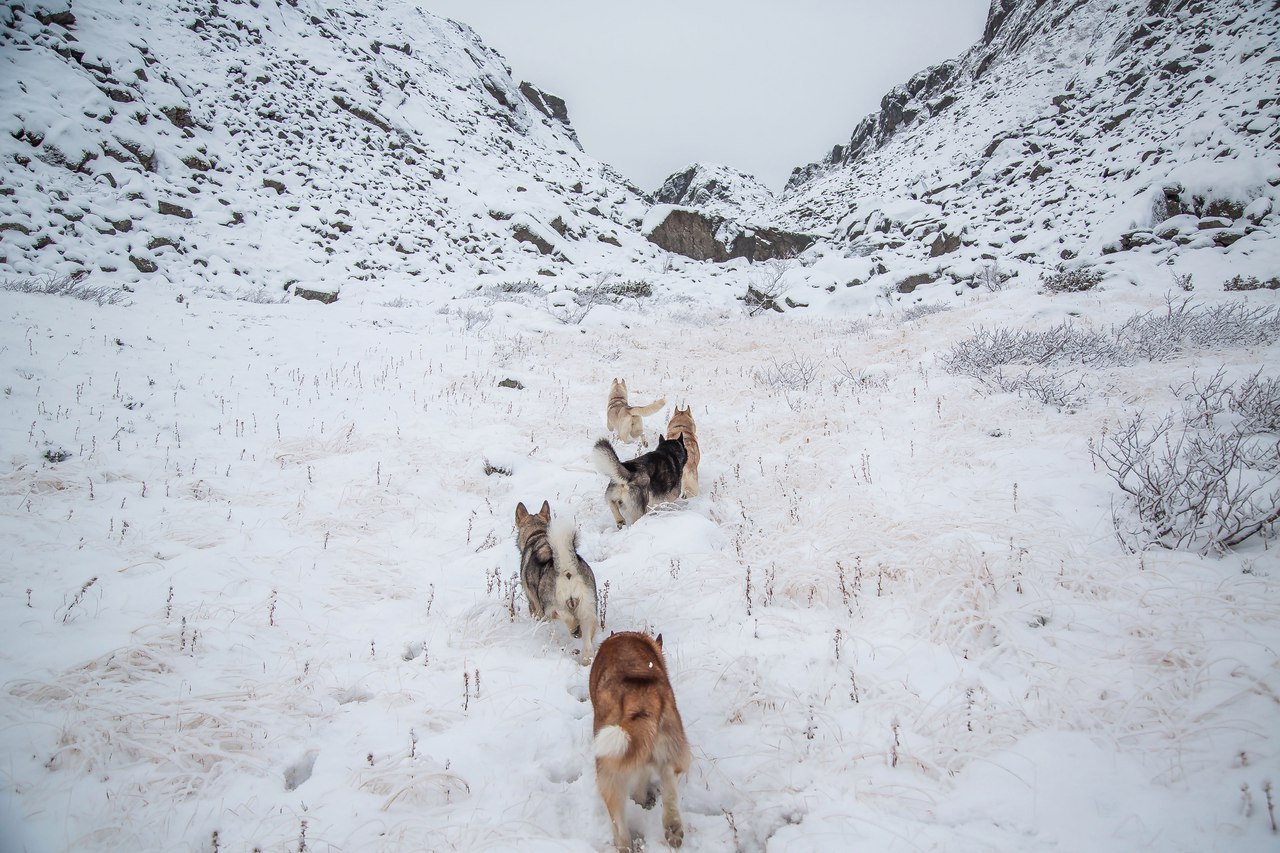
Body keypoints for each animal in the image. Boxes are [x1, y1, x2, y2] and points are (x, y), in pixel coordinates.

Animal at [588, 627, 691, 845]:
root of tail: (641, 698)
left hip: (609, 770)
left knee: (618, 821)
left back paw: (624, 844)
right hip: (670, 743)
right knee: (669, 777)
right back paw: (673, 827)